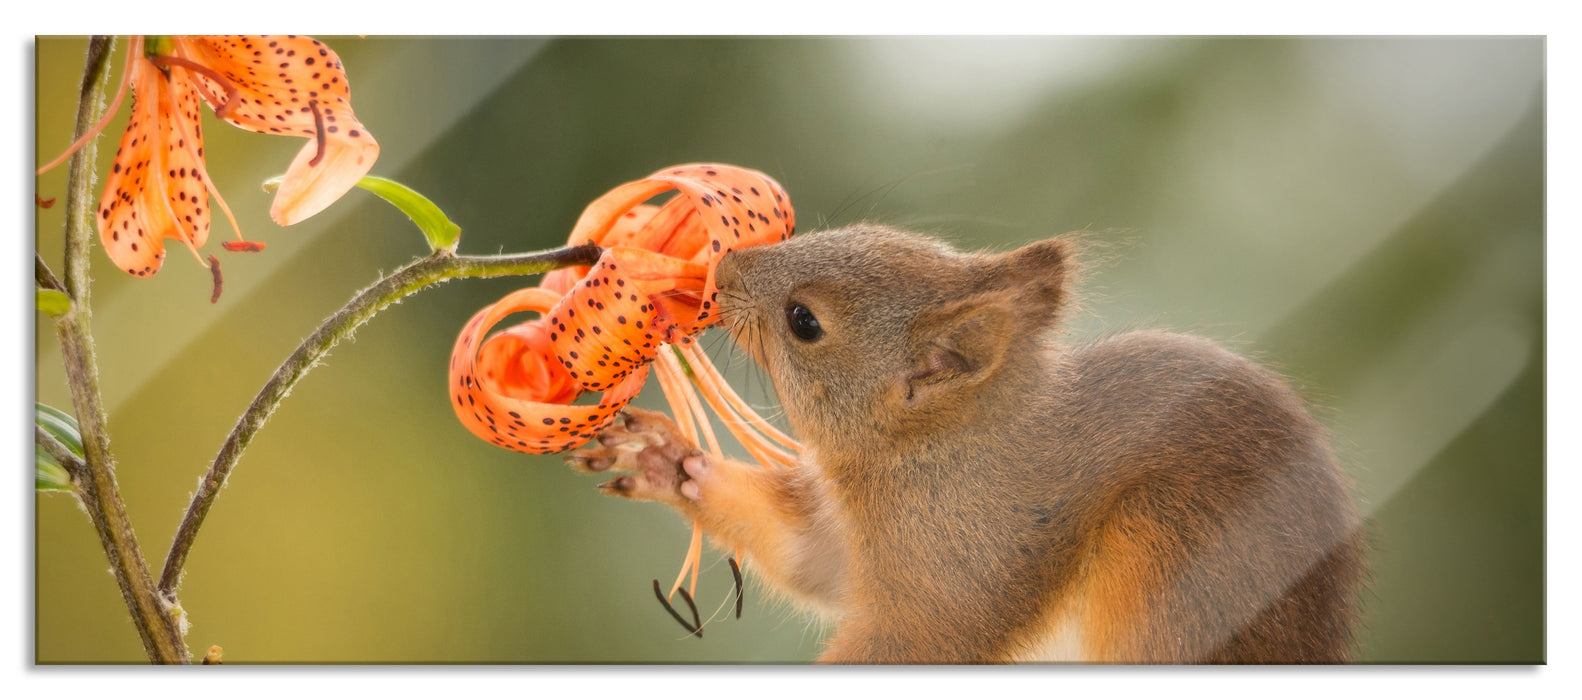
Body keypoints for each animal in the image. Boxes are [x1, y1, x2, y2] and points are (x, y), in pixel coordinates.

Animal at [566, 223, 1360, 661]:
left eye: (804, 322)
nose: (721, 269)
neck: (927, 456)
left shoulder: (963, 571)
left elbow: (913, 641)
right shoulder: (862, 549)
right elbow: (808, 559)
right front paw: (666, 462)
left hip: (1177, 565)